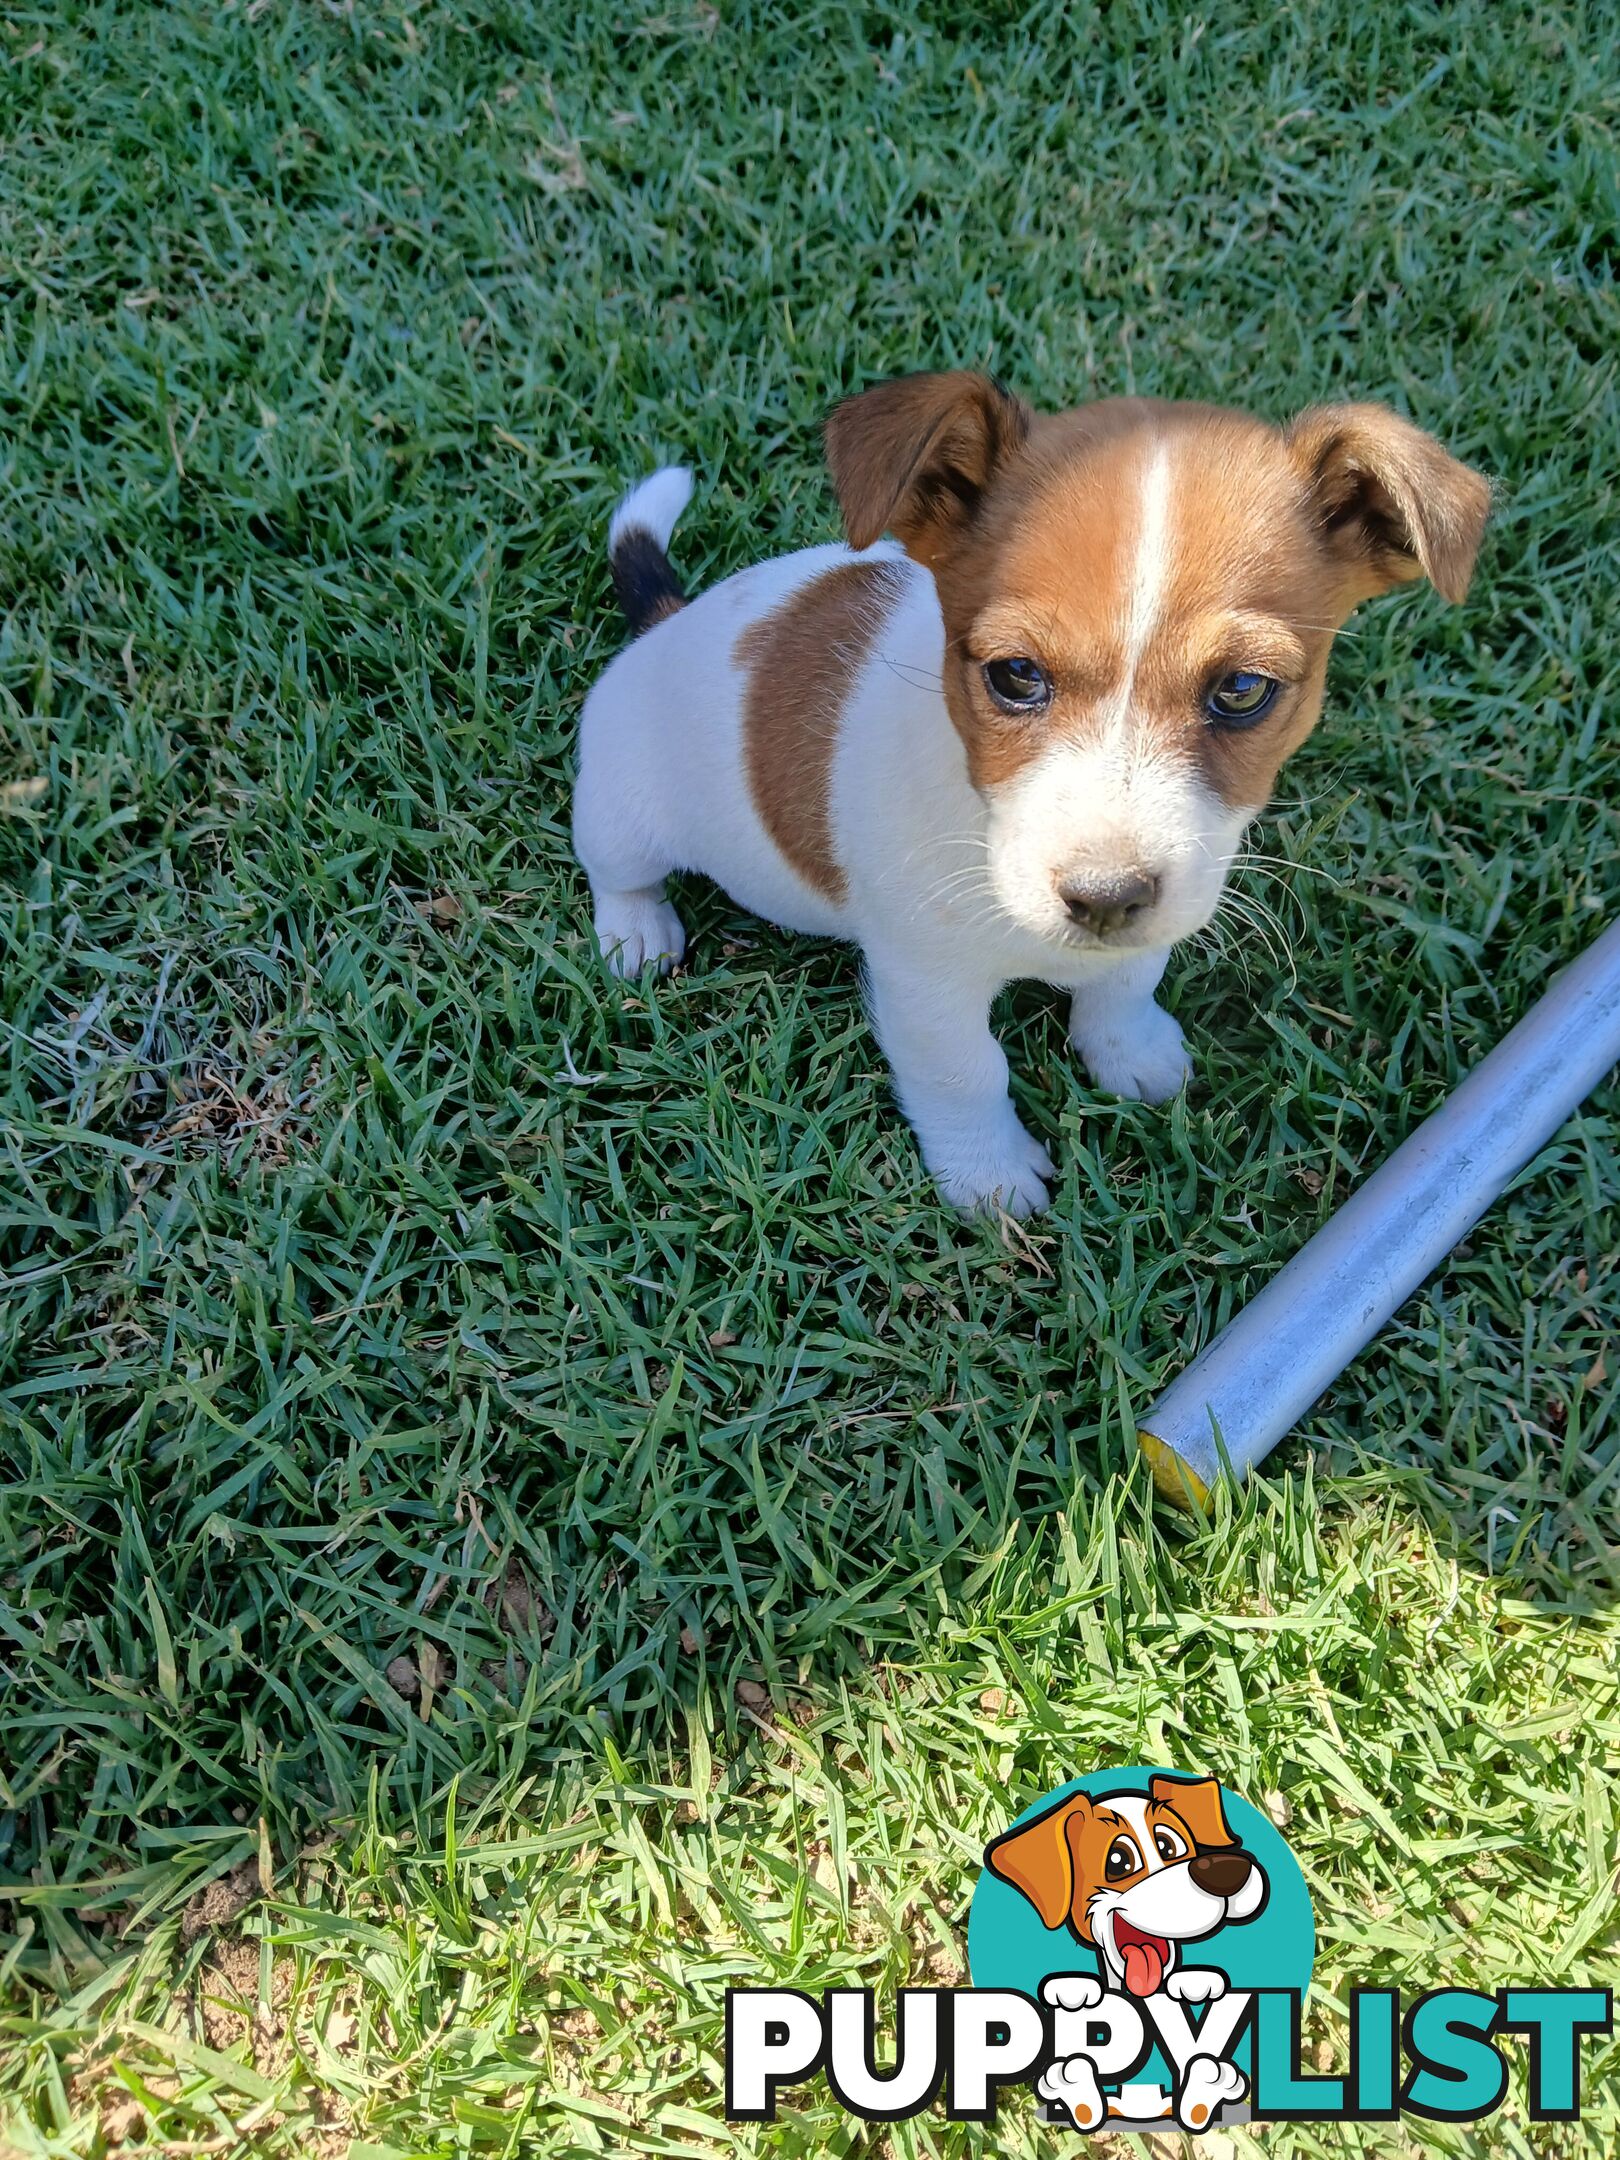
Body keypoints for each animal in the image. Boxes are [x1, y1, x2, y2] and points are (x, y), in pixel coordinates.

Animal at [574, 373, 1494, 1218]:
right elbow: (965, 1073)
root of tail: (668, 622)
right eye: (1016, 675)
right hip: (621, 810)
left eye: (1241, 690)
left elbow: (1125, 983)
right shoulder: (926, 983)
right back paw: (637, 931)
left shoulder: (1153, 916)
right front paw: (987, 1174)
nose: (1103, 897)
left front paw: (1127, 1050)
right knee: (617, 873)